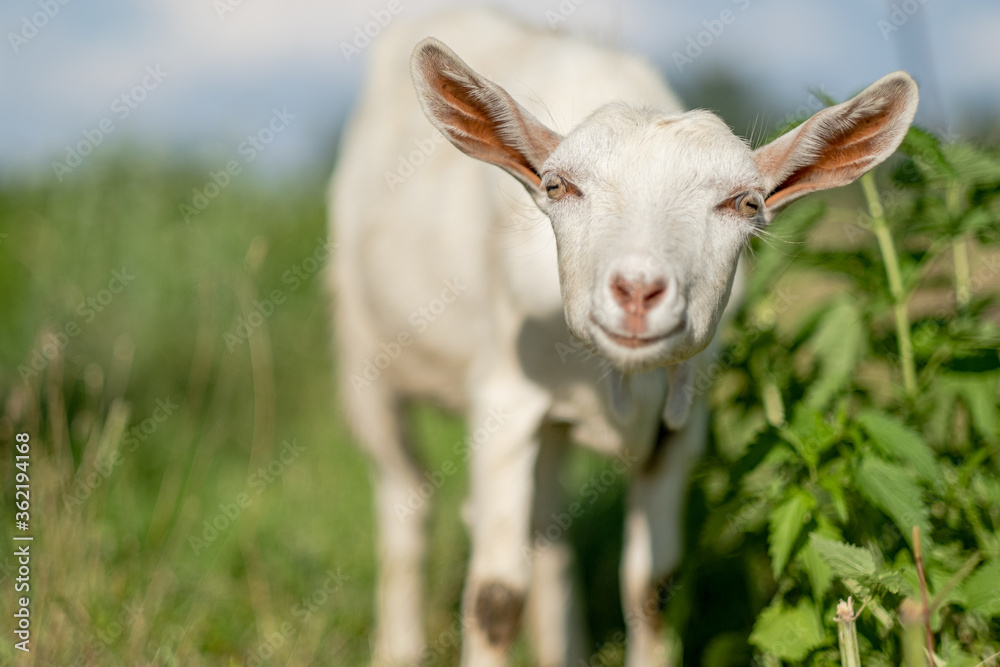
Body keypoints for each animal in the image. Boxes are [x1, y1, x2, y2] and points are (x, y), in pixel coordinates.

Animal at [328, 9, 918, 666]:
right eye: (557, 186)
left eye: (746, 203)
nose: (638, 289)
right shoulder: (505, 400)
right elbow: (495, 597)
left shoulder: (680, 425)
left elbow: (651, 589)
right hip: (362, 352)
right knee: (405, 500)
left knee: (549, 532)